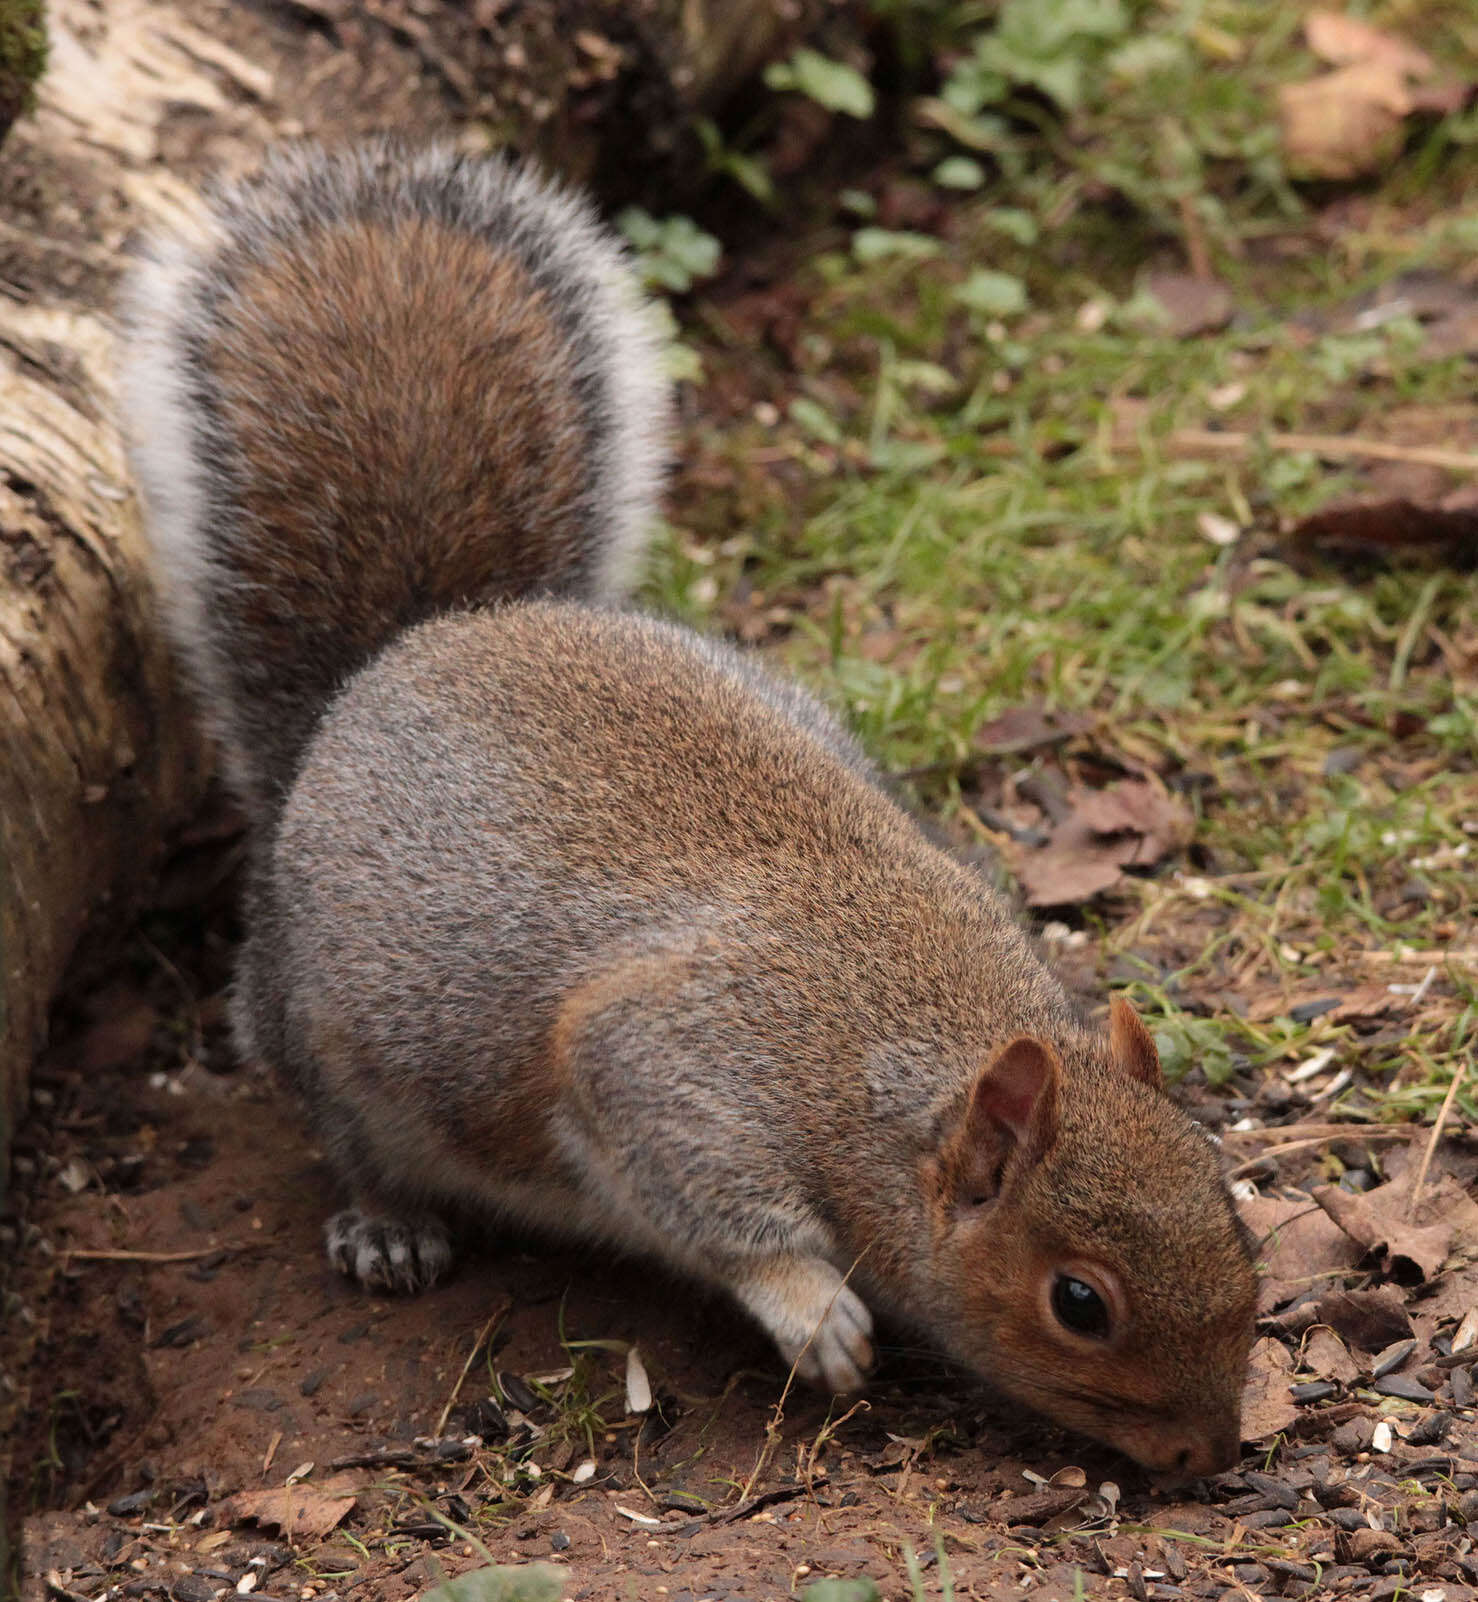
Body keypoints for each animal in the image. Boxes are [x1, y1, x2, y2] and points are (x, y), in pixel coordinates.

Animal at [115, 140, 1255, 1473]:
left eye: (1230, 1209)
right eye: (1078, 1301)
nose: (1209, 1453)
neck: (901, 1052)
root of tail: (400, 655)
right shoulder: (674, 1069)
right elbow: (709, 1195)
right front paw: (814, 1312)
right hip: (327, 1033)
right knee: (348, 1135)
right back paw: (385, 1223)